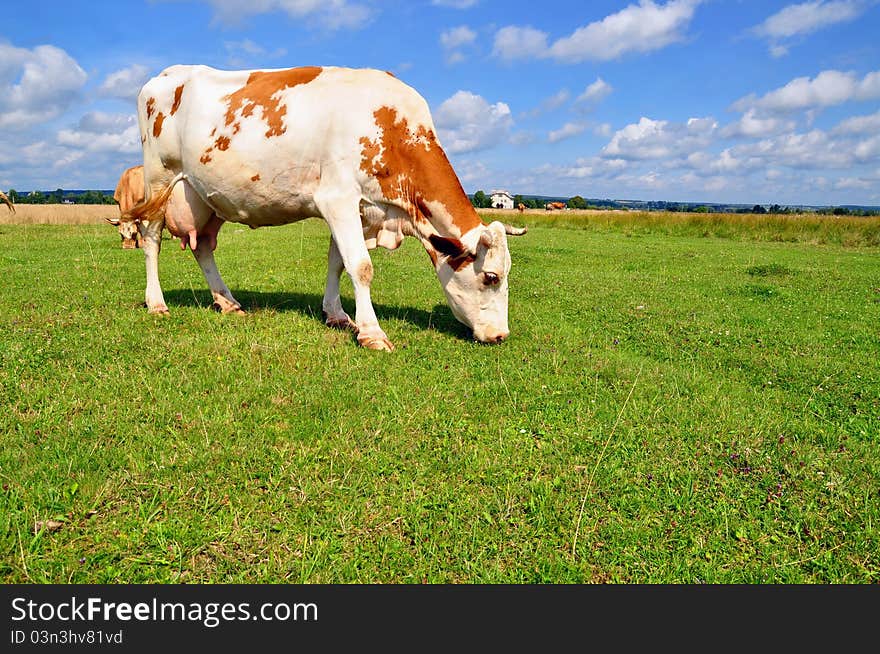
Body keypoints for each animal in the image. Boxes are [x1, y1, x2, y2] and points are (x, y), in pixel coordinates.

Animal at [120, 64, 524, 352]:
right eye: (491, 277)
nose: (501, 335)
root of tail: (164, 75)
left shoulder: (361, 210)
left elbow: (338, 263)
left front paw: (338, 315)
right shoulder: (338, 199)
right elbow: (361, 267)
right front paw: (372, 333)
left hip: (206, 196)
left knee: (202, 246)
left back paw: (227, 301)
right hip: (158, 181)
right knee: (151, 240)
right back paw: (156, 302)